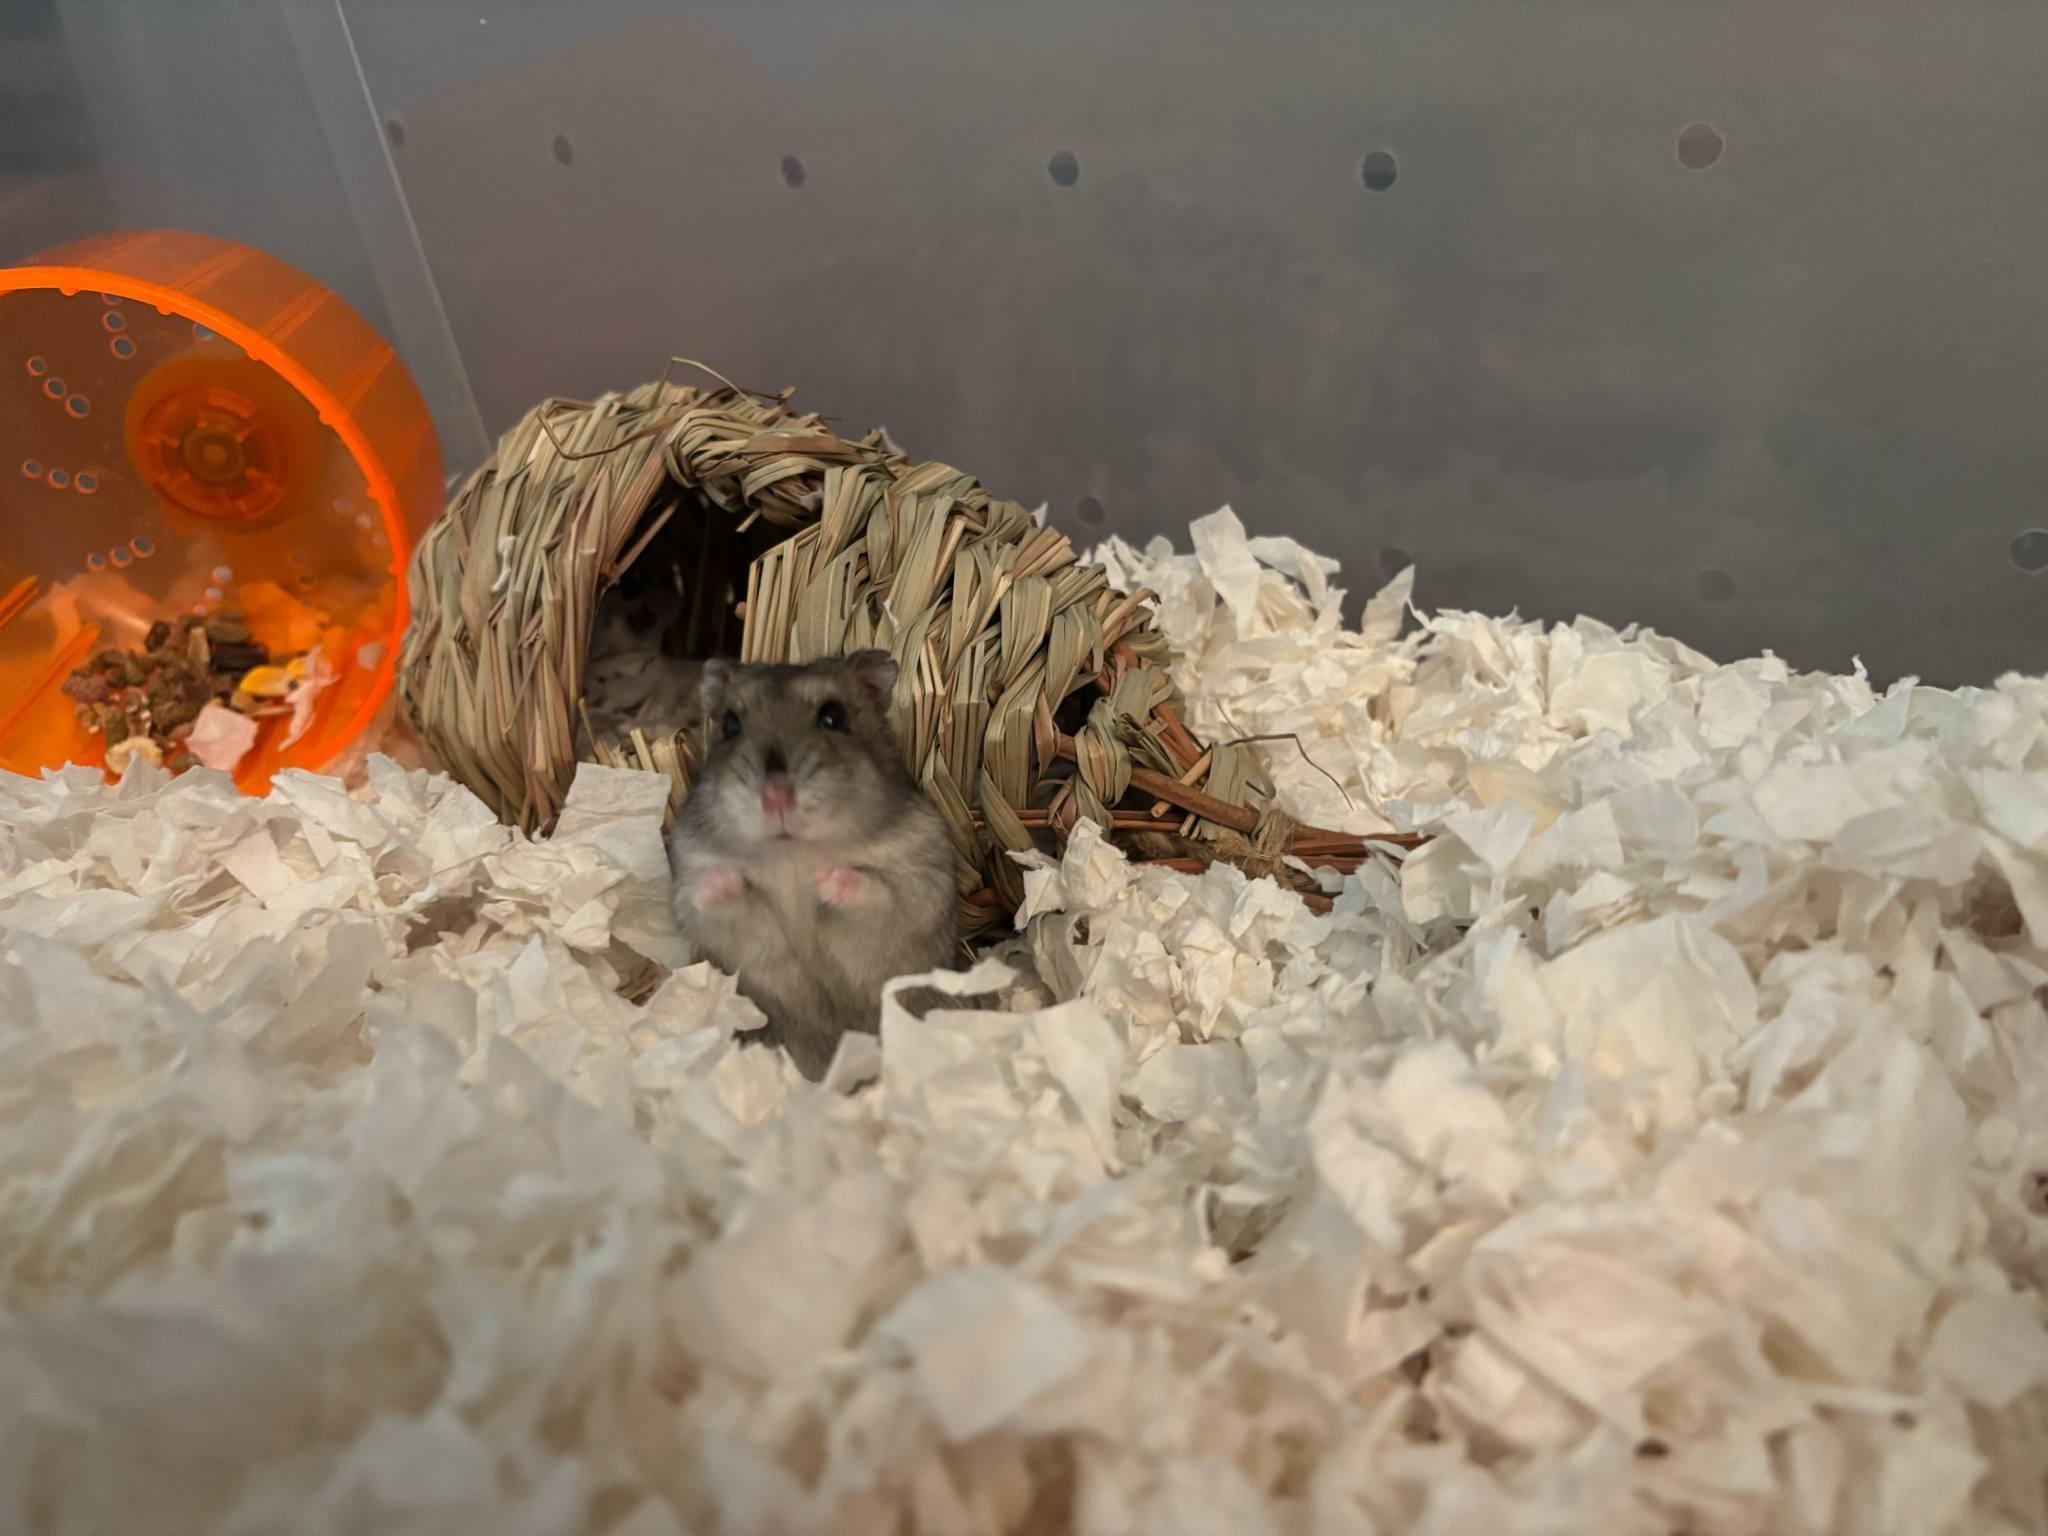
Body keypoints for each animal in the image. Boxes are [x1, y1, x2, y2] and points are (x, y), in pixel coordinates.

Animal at [667, 650, 959, 1079]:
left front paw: (825, 880)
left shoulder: (918, 887)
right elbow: (718, 902)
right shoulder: (738, 938)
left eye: (834, 717)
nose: (775, 796)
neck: (794, 855)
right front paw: (719, 880)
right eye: (730, 725)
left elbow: (879, 893)